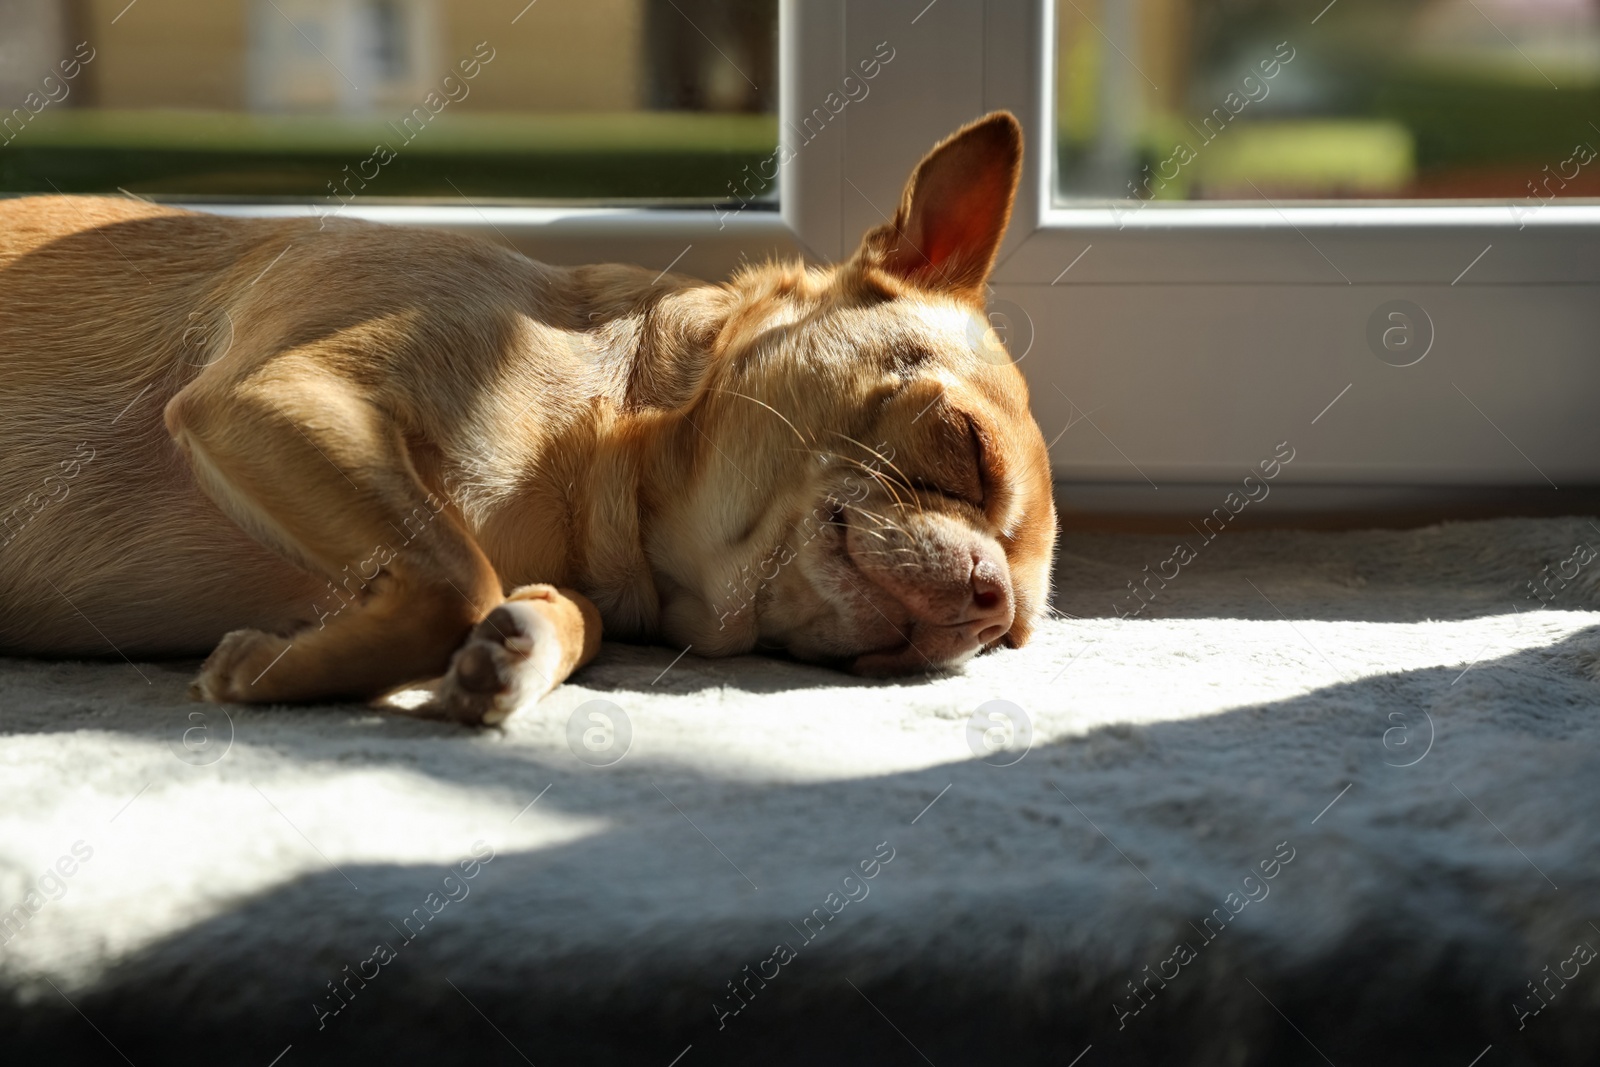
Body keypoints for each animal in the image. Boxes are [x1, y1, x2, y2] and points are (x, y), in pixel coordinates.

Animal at [0, 110, 1049, 726]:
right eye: (964, 445)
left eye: (1015, 640)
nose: (992, 598)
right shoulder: (263, 396)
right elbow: (457, 568)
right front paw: (271, 672)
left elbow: (536, 602)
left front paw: (520, 646)